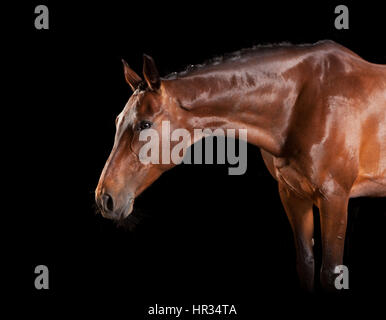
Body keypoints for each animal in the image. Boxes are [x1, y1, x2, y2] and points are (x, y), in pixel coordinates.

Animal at [95, 40, 386, 290]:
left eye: (144, 124)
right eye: (118, 121)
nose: (104, 198)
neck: (307, 101)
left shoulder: (334, 198)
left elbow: (330, 273)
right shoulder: (293, 196)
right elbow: (306, 265)